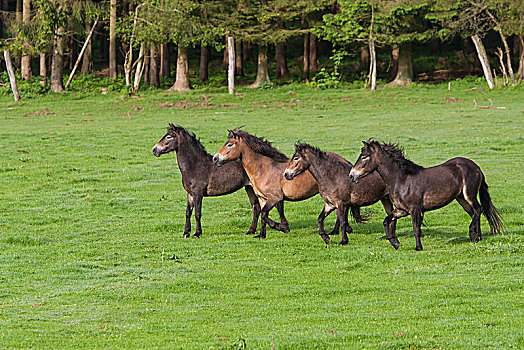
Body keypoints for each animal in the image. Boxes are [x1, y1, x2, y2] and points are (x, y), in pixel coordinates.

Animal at [151, 123, 286, 238]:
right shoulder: (190, 194)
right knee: (257, 208)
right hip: (249, 188)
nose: (154, 149)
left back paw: (281, 226)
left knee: (276, 206)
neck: (195, 165)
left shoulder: (198, 193)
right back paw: (251, 231)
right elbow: (188, 212)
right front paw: (186, 233)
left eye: (169, 136)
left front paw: (197, 233)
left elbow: (197, 213)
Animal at [348, 141, 504, 250]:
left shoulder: (415, 209)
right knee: (474, 213)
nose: (352, 175)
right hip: (461, 198)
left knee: (478, 210)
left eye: (364, 156)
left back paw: (473, 234)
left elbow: (416, 228)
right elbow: (387, 221)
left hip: (469, 195)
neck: (402, 179)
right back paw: (477, 237)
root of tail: (476, 167)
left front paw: (418, 247)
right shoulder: (401, 210)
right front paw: (395, 243)